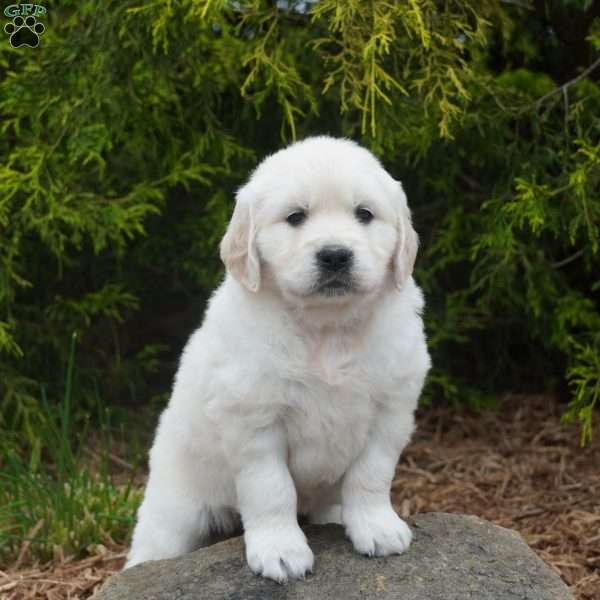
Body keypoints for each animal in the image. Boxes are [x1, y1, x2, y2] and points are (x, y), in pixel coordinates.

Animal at [126, 135, 432, 580]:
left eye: (364, 214)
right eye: (295, 217)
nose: (335, 255)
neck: (326, 329)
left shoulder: (390, 411)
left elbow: (371, 474)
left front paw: (377, 527)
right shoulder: (254, 421)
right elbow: (271, 489)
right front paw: (280, 550)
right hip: (174, 507)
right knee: (152, 544)